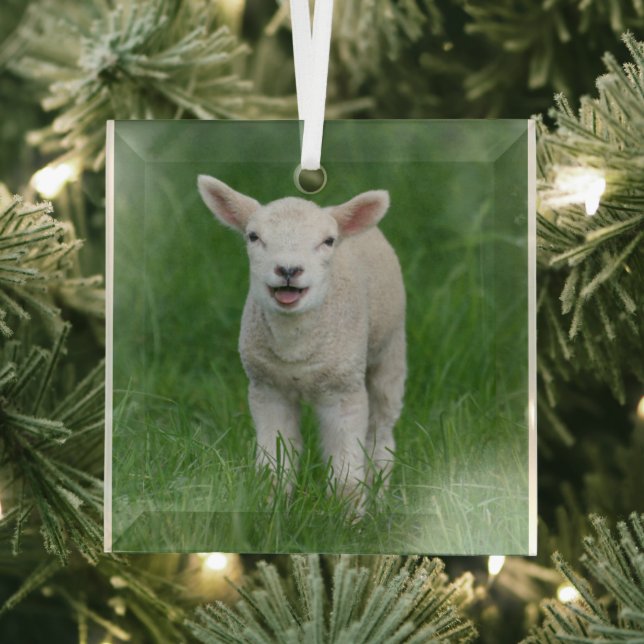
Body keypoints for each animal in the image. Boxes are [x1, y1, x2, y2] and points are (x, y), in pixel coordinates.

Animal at [197, 175, 406, 505]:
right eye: (253, 236)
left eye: (328, 241)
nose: (288, 270)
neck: (294, 348)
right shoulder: (268, 389)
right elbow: (275, 464)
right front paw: (271, 506)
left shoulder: (344, 392)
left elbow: (346, 473)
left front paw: (347, 515)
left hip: (390, 350)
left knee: (382, 432)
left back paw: (380, 495)